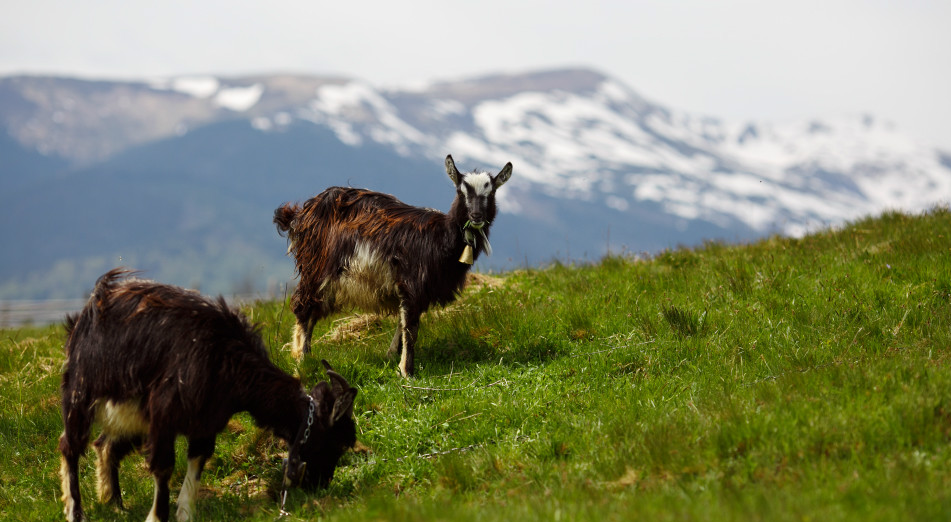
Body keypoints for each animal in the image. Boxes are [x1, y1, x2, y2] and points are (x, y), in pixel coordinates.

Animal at [59, 268, 358, 520]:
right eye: (338, 443)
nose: (321, 485)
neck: (226, 358)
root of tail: (94, 304)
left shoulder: (205, 424)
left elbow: (196, 465)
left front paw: (185, 513)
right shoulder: (164, 415)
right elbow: (164, 467)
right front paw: (157, 516)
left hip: (131, 413)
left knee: (105, 445)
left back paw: (115, 504)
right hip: (80, 394)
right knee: (69, 446)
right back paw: (76, 513)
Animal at [276, 152, 512, 376]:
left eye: (491, 193)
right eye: (461, 192)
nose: (476, 216)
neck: (440, 238)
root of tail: (303, 212)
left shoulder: (416, 290)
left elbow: (402, 322)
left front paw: (392, 357)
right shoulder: (412, 282)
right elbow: (410, 328)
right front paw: (406, 371)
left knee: (312, 311)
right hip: (316, 267)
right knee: (303, 306)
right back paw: (301, 359)